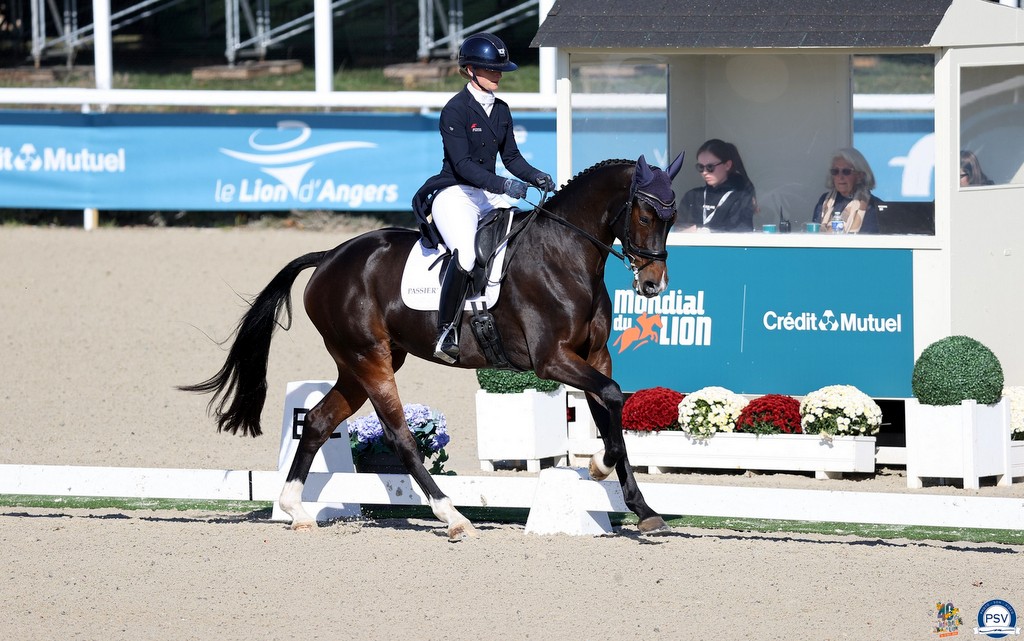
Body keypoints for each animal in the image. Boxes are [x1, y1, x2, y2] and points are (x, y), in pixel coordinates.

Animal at [181, 153, 685, 541]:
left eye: (673, 218)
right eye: (644, 216)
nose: (652, 285)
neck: (565, 255)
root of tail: (329, 257)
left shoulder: (595, 356)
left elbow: (610, 410)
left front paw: (641, 507)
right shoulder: (552, 360)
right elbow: (613, 398)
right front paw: (599, 468)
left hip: (360, 364)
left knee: (320, 422)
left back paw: (296, 511)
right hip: (370, 359)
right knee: (400, 436)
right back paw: (454, 517)